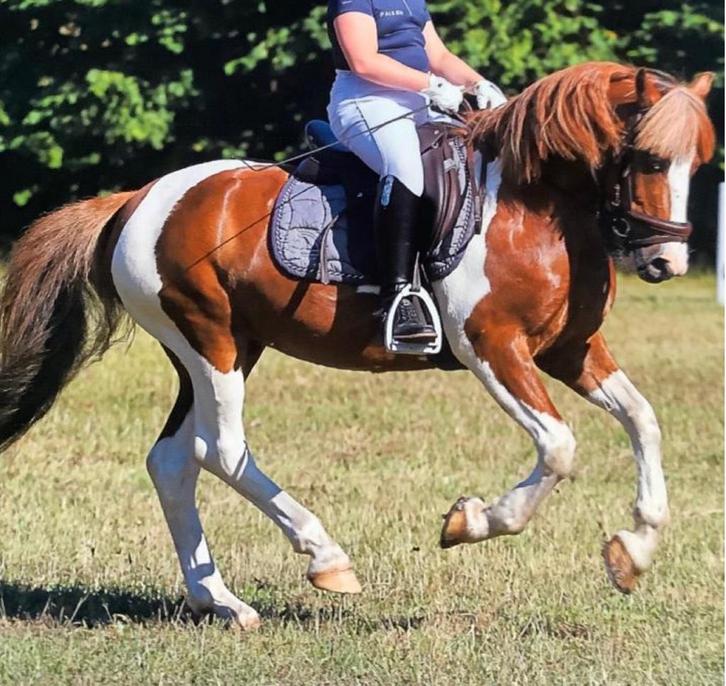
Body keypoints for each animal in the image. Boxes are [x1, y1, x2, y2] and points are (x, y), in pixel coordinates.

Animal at [0, 62, 715, 630]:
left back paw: (221, 603)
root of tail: (138, 199)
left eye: (697, 165)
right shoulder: (492, 345)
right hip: (210, 340)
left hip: (221, 348)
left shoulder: (570, 349)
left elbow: (643, 420)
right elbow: (560, 447)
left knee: (174, 461)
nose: (667, 262)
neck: (534, 204)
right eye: (651, 160)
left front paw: (632, 553)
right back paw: (327, 558)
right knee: (220, 449)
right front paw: (471, 521)